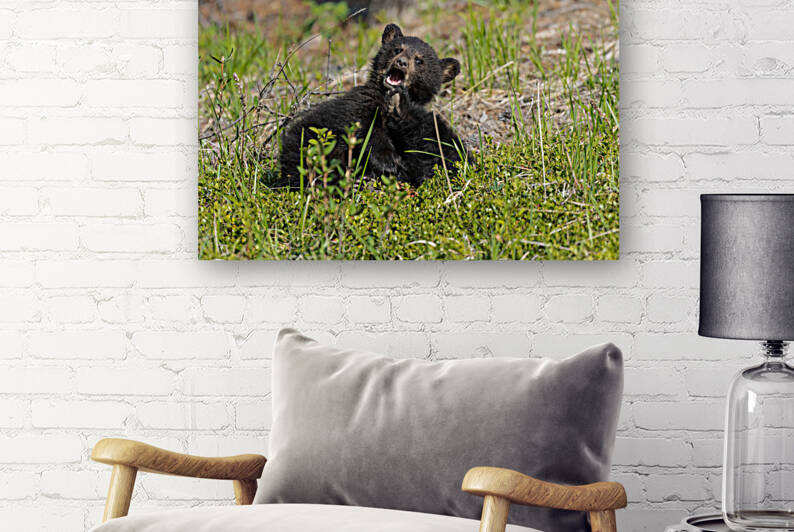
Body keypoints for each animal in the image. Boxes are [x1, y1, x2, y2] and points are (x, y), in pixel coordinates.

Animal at [278, 23, 467, 188]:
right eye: (397, 49)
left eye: (419, 60)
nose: (401, 62)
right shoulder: (361, 102)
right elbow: (364, 129)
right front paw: (388, 162)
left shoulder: (424, 122)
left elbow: (439, 150)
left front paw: (401, 107)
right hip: (308, 141)